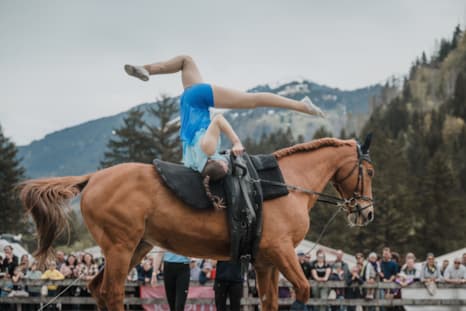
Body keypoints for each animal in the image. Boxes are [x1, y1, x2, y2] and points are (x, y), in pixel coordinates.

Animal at [19, 137, 374, 311]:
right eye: (368, 172)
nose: (366, 212)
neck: (285, 184)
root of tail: (93, 178)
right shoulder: (281, 251)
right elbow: (302, 290)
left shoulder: (266, 260)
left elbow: (271, 301)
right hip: (120, 248)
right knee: (112, 292)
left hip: (136, 248)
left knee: (97, 289)